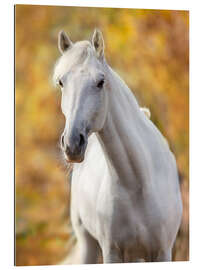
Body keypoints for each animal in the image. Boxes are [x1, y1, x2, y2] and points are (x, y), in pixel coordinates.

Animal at [53, 29, 182, 264]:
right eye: (61, 82)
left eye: (100, 82)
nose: (72, 144)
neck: (137, 184)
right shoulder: (111, 252)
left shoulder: (163, 252)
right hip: (88, 244)